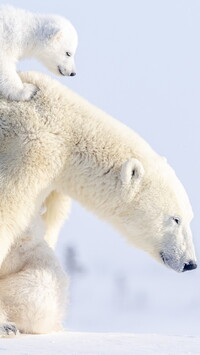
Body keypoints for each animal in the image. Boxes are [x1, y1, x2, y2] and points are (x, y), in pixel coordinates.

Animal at [0, 71, 196, 274]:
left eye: (190, 217)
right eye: (175, 219)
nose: (190, 263)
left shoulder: (55, 183)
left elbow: (51, 220)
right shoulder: (30, 151)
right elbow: (7, 209)